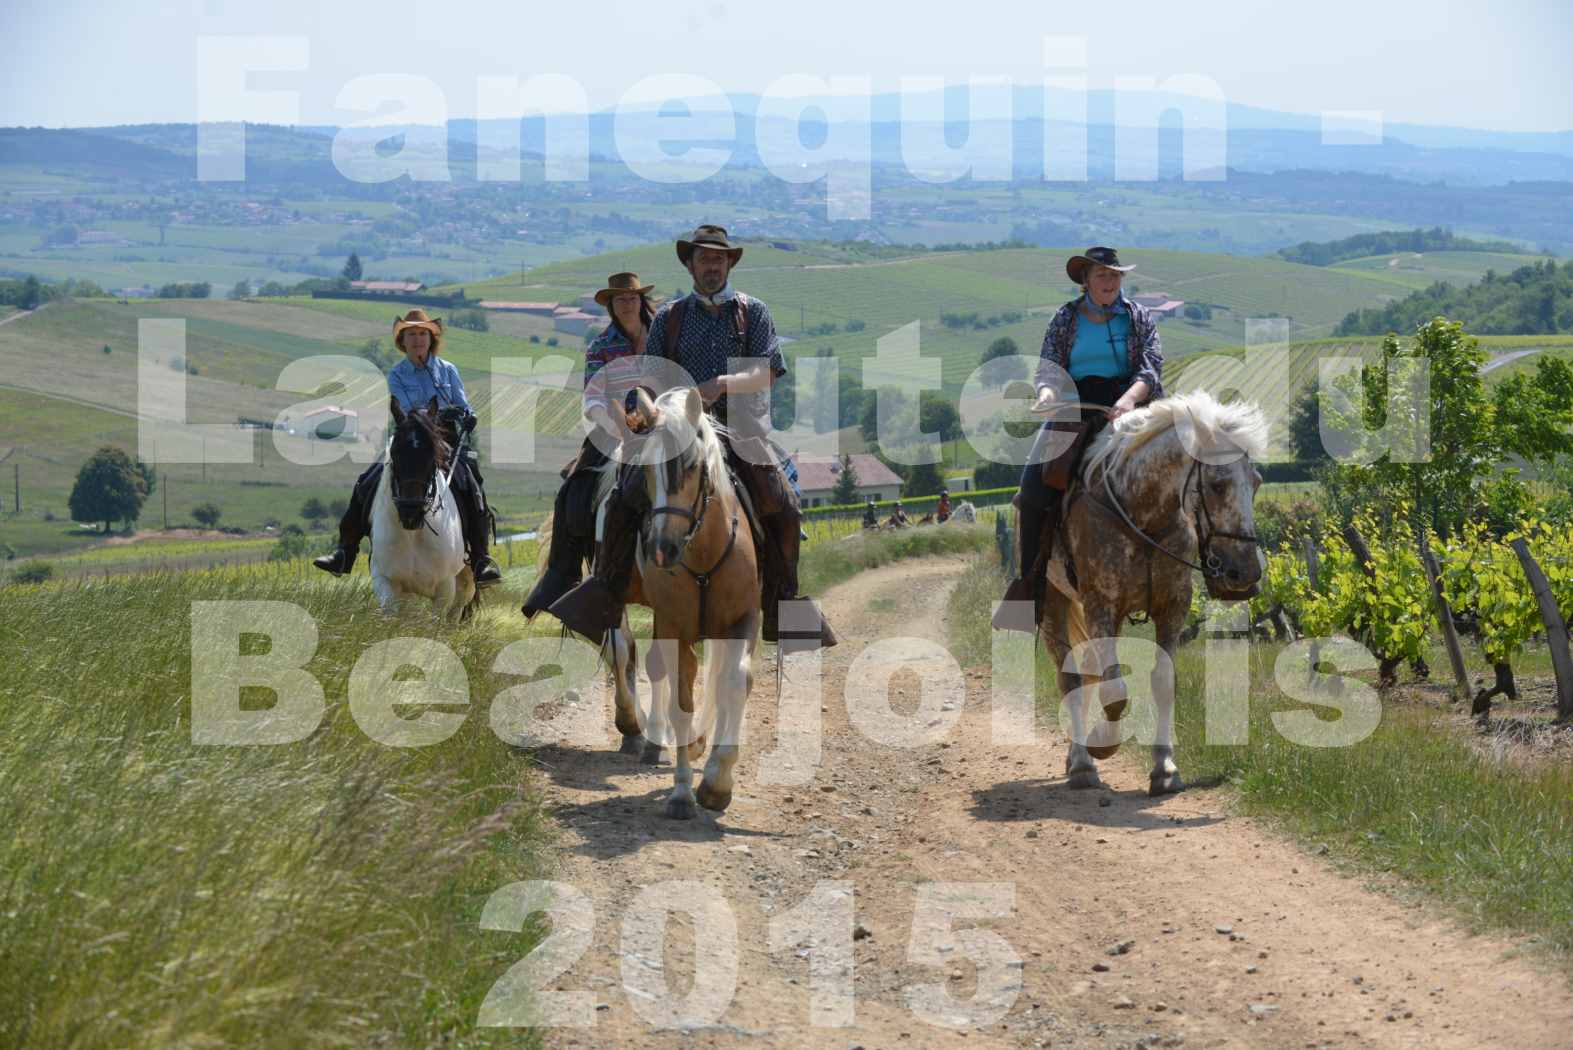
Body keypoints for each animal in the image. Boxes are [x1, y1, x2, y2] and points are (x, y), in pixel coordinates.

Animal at [368, 397, 478, 619]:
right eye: (394, 453)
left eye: (433, 454)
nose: (411, 512)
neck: (413, 535)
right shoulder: (386, 581)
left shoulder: (445, 587)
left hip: (466, 580)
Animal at [1031, 389, 1264, 792]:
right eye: (1217, 484)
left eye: (1258, 482)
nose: (1246, 572)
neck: (1143, 516)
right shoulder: (1101, 607)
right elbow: (1114, 692)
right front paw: (1103, 745)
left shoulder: (1173, 608)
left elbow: (1162, 682)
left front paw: (1165, 768)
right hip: (1054, 604)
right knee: (1071, 677)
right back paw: (1081, 764)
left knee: (1087, 674)